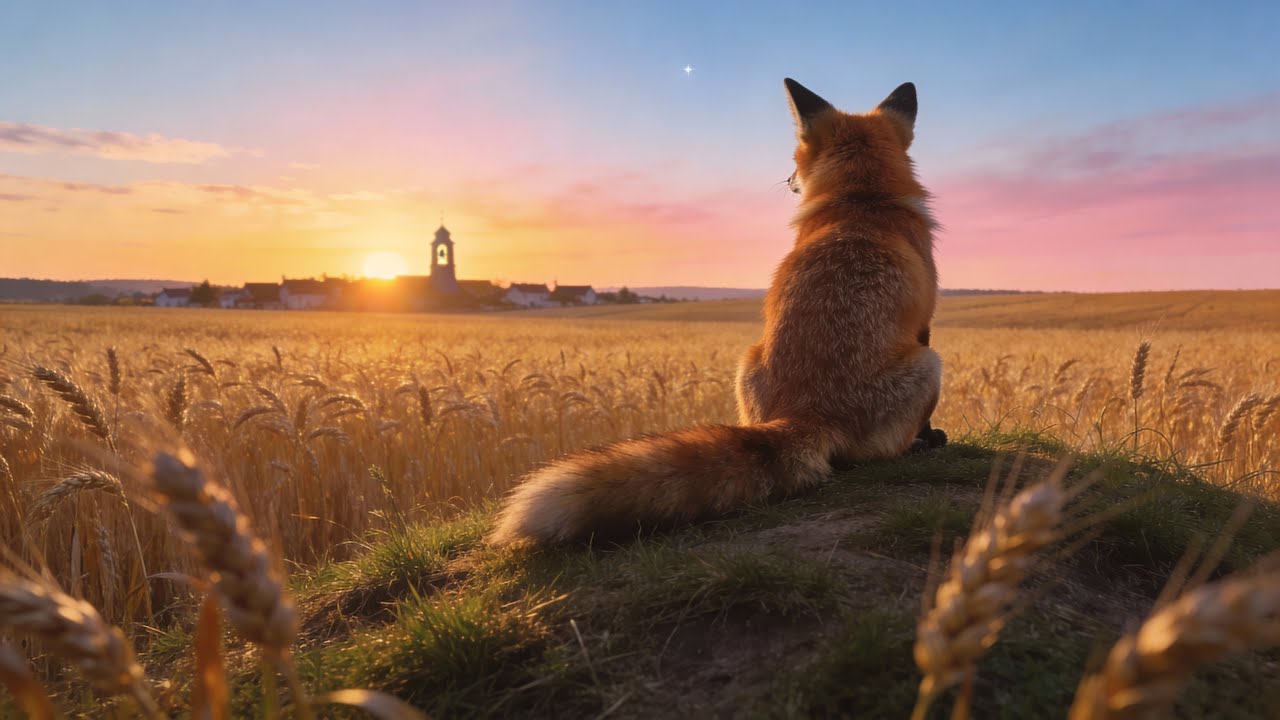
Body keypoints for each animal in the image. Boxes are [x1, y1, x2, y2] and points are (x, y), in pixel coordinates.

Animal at [488, 79, 946, 548]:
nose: (787, 180)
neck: (862, 199)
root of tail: (807, 414)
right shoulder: (924, 324)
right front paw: (929, 437)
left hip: (746, 361)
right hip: (931, 363)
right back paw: (916, 446)